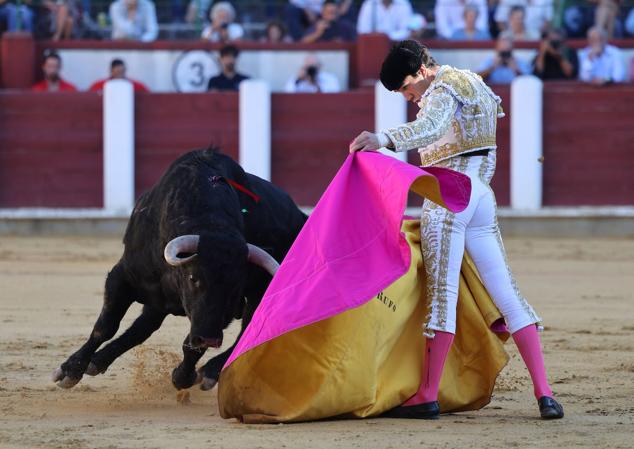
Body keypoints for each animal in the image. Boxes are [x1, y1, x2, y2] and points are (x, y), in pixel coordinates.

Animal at [53, 149, 304, 390]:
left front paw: (183, 376)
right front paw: (70, 370)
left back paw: (210, 372)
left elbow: (192, 345)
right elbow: (105, 326)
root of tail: (301, 217)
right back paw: (98, 361)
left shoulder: (221, 313)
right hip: (157, 299)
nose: (210, 339)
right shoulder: (122, 276)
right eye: (193, 278)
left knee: (248, 331)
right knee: (142, 327)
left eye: (235, 287)